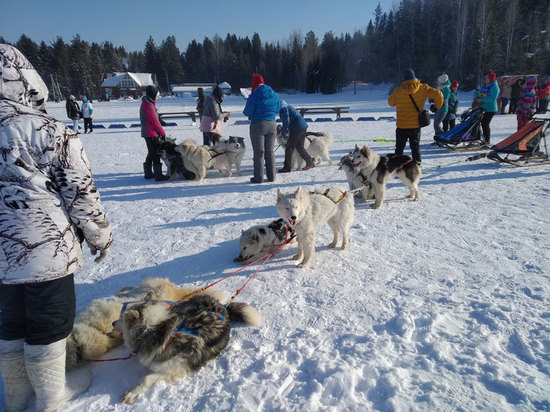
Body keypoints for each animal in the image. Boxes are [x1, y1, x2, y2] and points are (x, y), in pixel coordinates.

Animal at [113, 292, 262, 406]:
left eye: (122, 317)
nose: (113, 323)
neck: (161, 331)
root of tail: (222, 306)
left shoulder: (175, 369)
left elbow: (146, 379)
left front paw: (132, 393)